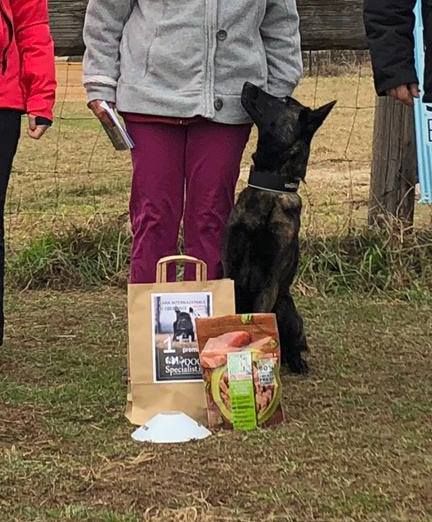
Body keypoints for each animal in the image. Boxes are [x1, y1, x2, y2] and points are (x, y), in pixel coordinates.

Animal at [224, 83, 336, 372]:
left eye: (284, 100)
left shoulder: (270, 281)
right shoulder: (230, 266)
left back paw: (295, 361)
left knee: (292, 345)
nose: (247, 84)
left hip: (287, 309)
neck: (270, 188)